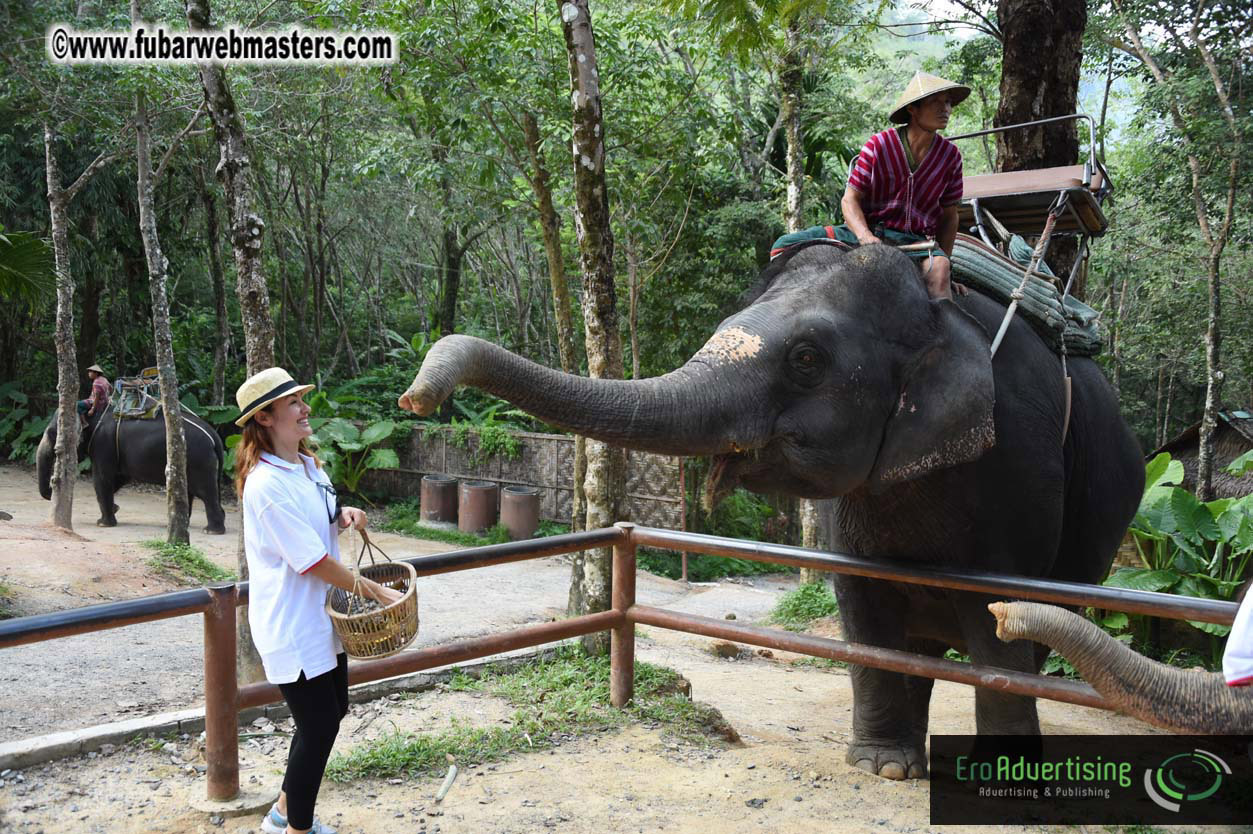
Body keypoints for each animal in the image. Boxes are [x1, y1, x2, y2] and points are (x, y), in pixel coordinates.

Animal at [37, 404, 227, 534]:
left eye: (52, 434)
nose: (51, 489)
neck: (92, 412)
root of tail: (215, 436)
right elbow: (120, 478)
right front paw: (115, 508)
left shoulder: (103, 443)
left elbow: (102, 479)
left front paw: (103, 523)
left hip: (200, 462)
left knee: (206, 493)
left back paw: (211, 530)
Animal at [397, 241, 1146, 779]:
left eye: (806, 358)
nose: (414, 397)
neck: (940, 314)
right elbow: (863, 611)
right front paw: (881, 767)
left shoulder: (1020, 469)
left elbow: (1005, 626)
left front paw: (996, 779)